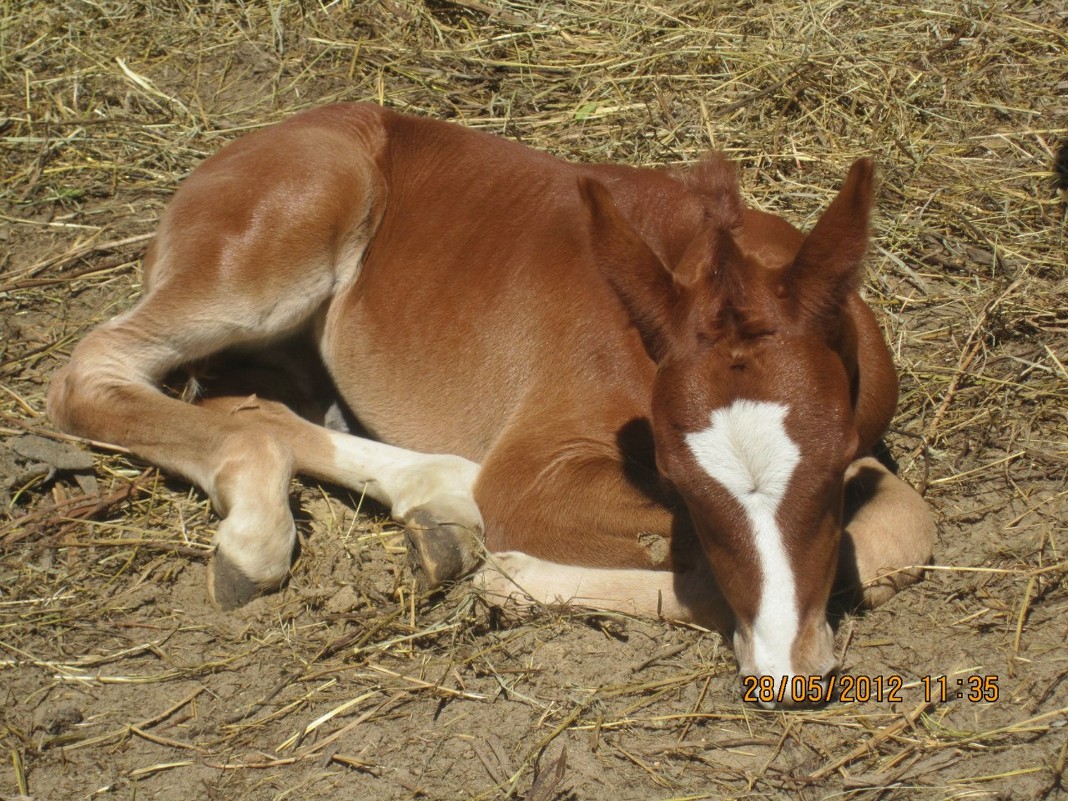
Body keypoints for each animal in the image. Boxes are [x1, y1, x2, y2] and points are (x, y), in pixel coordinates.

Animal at [50, 103, 935, 704]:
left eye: (829, 456)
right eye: (677, 475)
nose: (791, 672)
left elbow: (896, 527)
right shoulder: (535, 473)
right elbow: (699, 555)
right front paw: (515, 577)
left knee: (249, 397)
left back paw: (436, 509)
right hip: (275, 245)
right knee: (92, 369)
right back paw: (259, 535)